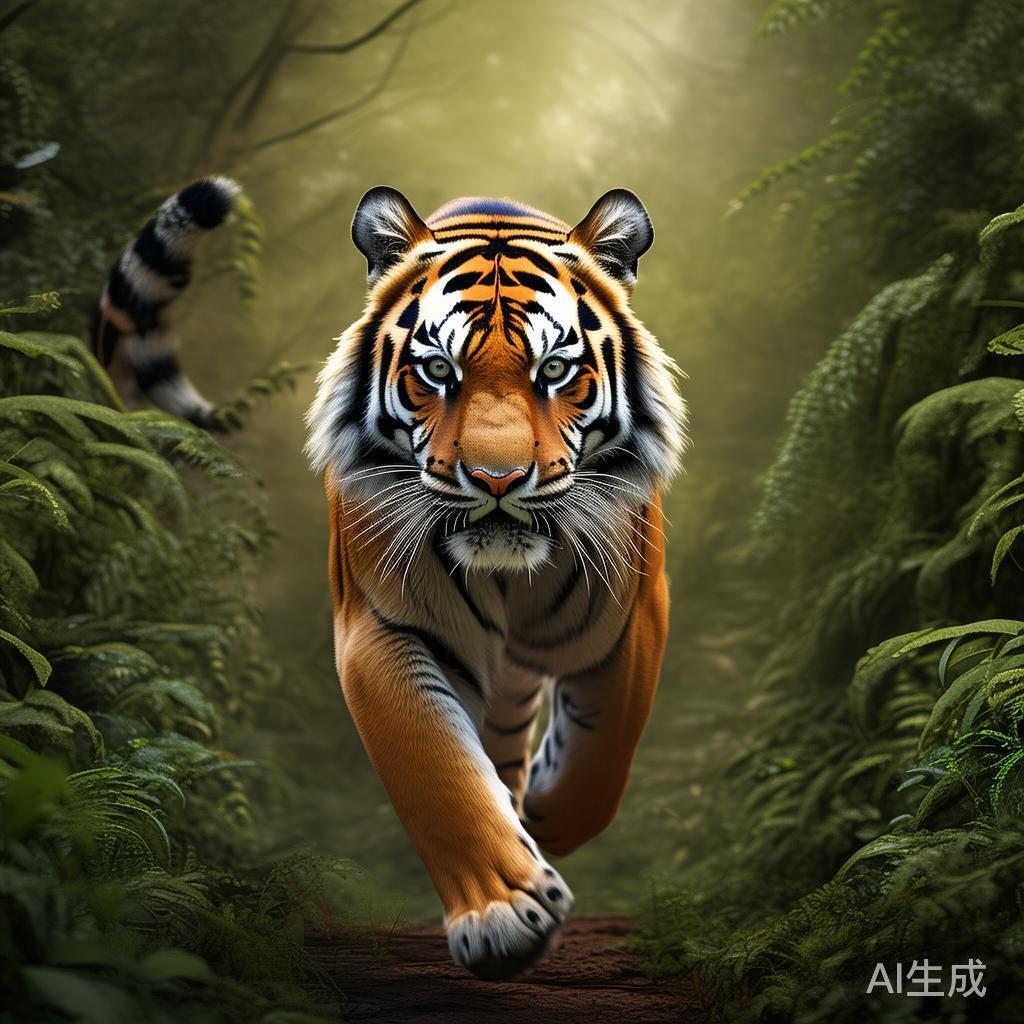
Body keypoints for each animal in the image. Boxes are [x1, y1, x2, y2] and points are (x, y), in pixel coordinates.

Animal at [306, 186, 687, 980]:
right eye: (437, 370)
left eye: (555, 371)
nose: (498, 479)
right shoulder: (380, 628)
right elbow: (436, 767)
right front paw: (504, 914)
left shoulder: (634, 616)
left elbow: (603, 751)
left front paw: (550, 815)